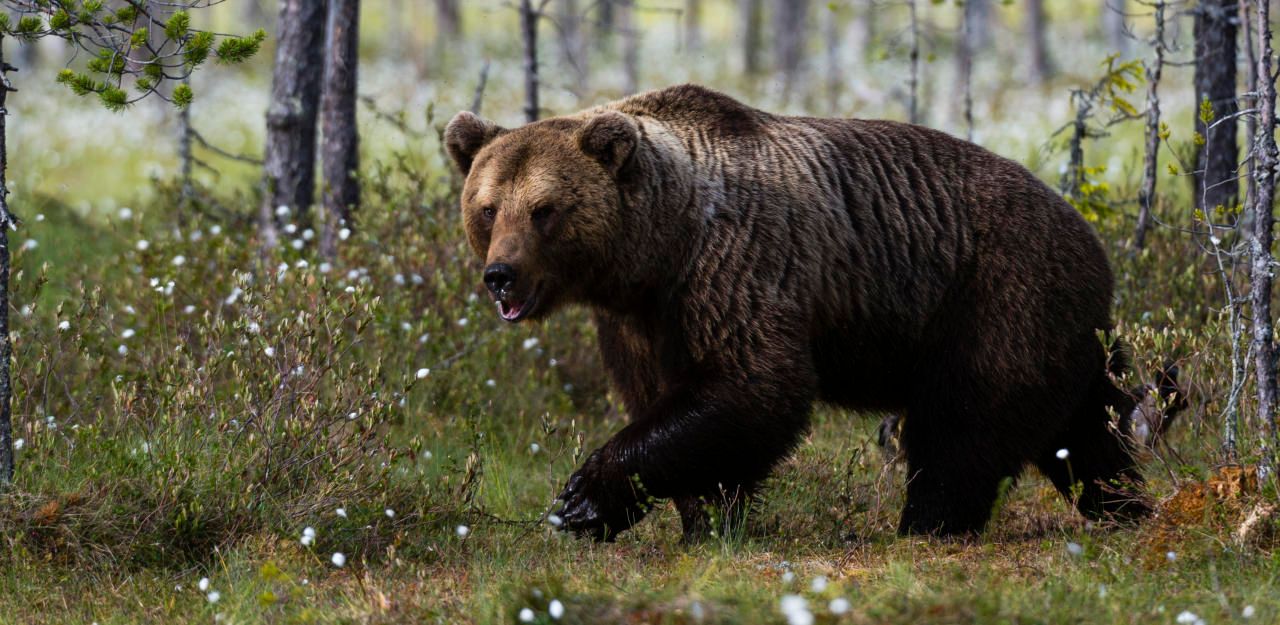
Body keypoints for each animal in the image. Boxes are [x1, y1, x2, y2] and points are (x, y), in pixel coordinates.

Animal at [444, 84, 1153, 541]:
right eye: (487, 207)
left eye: (544, 209)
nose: (500, 276)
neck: (661, 247)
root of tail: (1094, 240)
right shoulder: (641, 317)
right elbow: (666, 399)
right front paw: (702, 517)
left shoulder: (739, 264)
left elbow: (753, 386)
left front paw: (583, 499)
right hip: (1061, 332)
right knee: (1088, 428)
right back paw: (1125, 505)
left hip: (995, 293)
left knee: (965, 423)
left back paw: (927, 524)